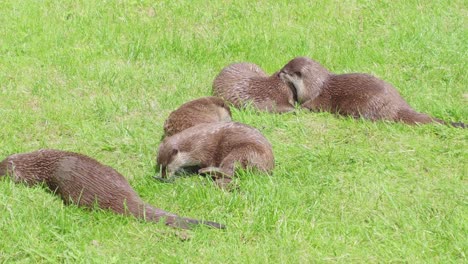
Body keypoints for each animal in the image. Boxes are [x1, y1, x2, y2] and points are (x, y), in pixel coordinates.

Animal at [280, 56, 466, 127]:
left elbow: (308, 106)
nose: (279, 72)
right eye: (284, 66)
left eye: (286, 71)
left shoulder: (315, 97)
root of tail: (397, 106)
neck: (316, 84)